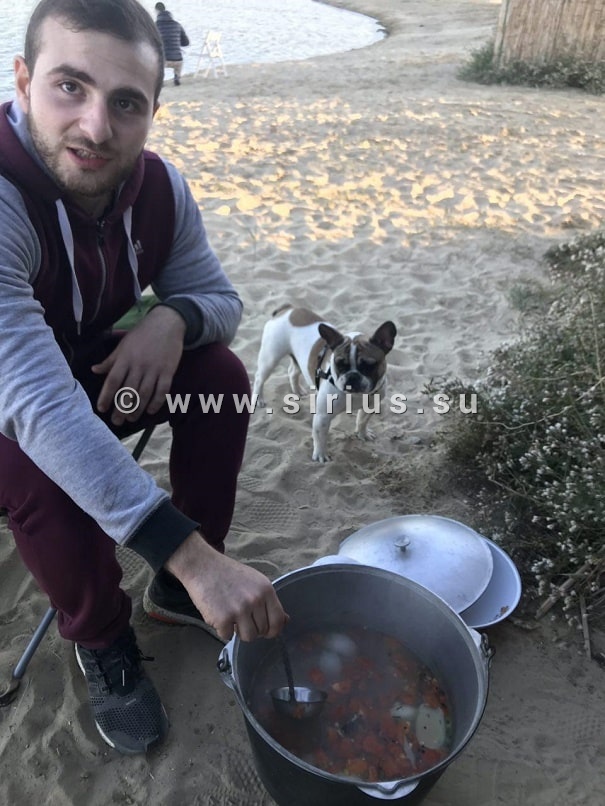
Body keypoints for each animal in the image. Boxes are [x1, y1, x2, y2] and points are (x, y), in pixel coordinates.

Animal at [252, 305, 397, 462]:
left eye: (368, 366)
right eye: (339, 364)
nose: (352, 376)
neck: (356, 396)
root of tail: (288, 309)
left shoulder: (370, 406)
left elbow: (362, 421)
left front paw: (362, 434)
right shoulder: (322, 416)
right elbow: (320, 436)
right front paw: (321, 455)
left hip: (297, 360)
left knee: (293, 371)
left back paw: (298, 390)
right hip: (270, 357)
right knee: (259, 378)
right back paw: (258, 399)